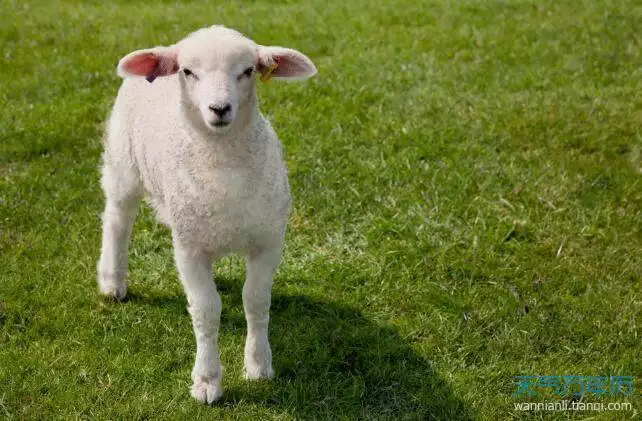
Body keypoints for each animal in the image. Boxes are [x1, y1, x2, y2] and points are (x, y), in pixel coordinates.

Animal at [96, 25, 316, 404]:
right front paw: (207, 380)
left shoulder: (268, 240)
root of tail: (164, 47)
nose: (219, 108)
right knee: (117, 220)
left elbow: (256, 301)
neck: (223, 168)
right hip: (123, 162)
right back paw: (112, 282)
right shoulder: (190, 249)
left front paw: (258, 365)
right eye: (188, 72)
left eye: (247, 71)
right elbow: (206, 310)